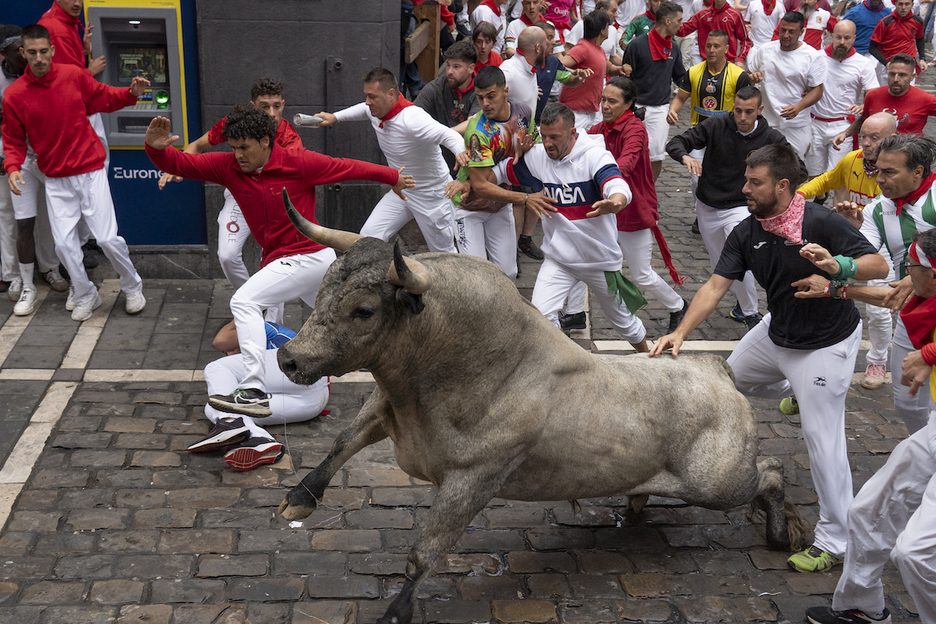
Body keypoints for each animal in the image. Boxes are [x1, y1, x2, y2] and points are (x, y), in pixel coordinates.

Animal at [274, 191, 808, 624]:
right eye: (322, 289)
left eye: (363, 311)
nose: (288, 358)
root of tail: (716, 369)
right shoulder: (384, 407)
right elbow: (343, 441)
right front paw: (300, 496)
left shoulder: (474, 477)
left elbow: (425, 551)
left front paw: (396, 611)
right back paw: (637, 504)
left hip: (716, 482)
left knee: (771, 471)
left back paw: (781, 532)